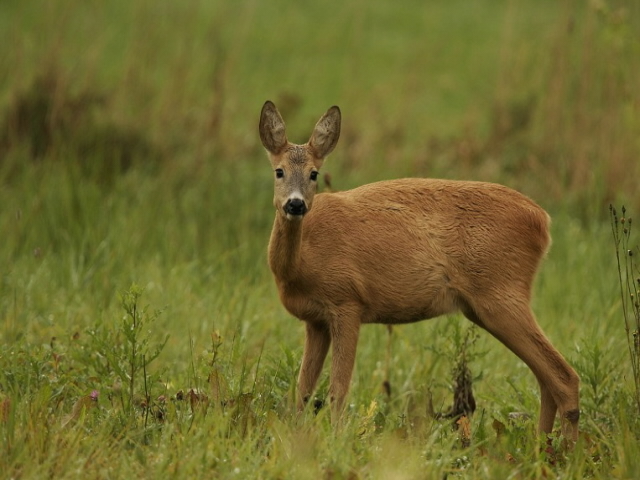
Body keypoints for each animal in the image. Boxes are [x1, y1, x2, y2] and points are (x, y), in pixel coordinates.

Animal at [258, 99, 580, 440]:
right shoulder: (315, 320)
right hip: (485, 306)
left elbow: (337, 390)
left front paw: (336, 440)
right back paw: (542, 444)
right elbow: (302, 391)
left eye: (314, 174)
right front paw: (297, 438)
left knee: (564, 376)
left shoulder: (347, 302)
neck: (303, 263)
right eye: (279, 171)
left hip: (502, 294)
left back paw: (565, 449)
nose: (295, 205)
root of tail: (543, 220)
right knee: (546, 377)